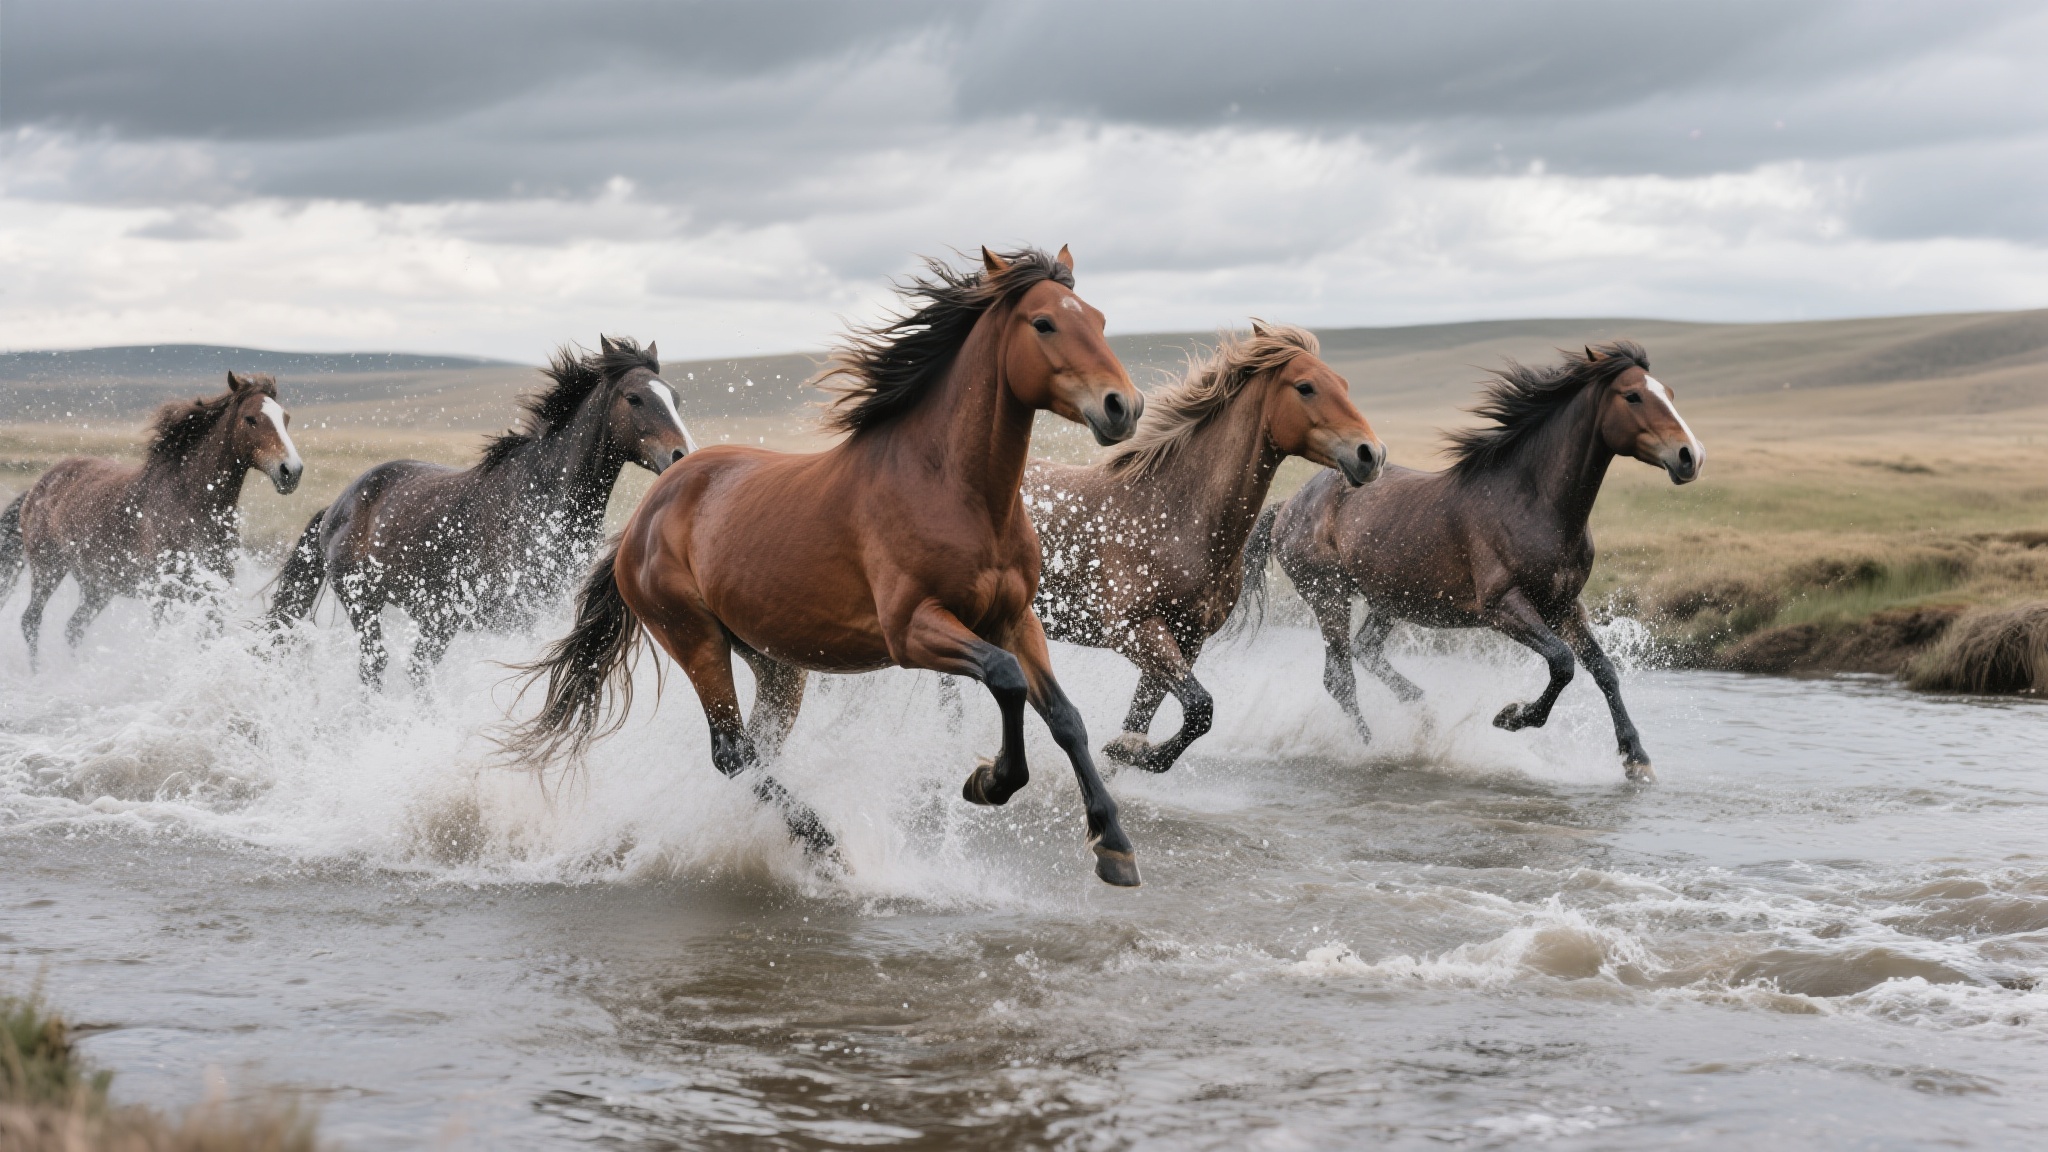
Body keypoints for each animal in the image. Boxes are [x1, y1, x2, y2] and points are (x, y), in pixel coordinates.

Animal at [0, 371, 303, 665]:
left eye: (286, 418)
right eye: (250, 419)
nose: (291, 471)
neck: (191, 506)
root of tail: (37, 487)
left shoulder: (213, 593)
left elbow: (207, 642)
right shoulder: (163, 594)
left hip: (97, 586)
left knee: (74, 628)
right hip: (48, 567)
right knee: (31, 620)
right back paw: (39, 673)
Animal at [267, 336, 694, 686]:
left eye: (675, 398)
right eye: (634, 398)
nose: (682, 456)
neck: (544, 497)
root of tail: (338, 505)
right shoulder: (520, 614)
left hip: (434, 619)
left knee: (415, 669)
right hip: (365, 603)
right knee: (377, 666)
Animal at [505, 246, 1151, 886]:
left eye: (1098, 320)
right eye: (1043, 323)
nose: (1123, 406)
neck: (953, 489)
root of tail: (646, 511)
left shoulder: (1016, 619)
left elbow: (1065, 716)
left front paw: (1113, 844)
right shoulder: (912, 630)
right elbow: (1006, 678)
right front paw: (989, 781)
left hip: (775, 662)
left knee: (759, 749)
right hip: (694, 638)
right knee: (733, 752)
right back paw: (824, 845)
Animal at [1025, 322, 1385, 774]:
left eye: (1344, 384)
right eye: (1305, 387)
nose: (1371, 455)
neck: (1171, 516)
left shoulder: (1188, 637)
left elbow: (1152, 717)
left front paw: (1124, 754)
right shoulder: (1134, 630)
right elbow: (1200, 708)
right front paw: (1132, 754)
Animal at [1240, 341, 1702, 781]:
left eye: (1670, 393)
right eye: (1633, 396)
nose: (1690, 456)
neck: (1534, 503)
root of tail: (1287, 505)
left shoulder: (1565, 605)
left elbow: (1602, 669)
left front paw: (1637, 759)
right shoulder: (1503, 606)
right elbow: (1563, 662)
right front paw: (1512, 717)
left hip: (1388, 599)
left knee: (1365, 651)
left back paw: (1425, 718)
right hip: (1328, 595)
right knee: (1339, 678)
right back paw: (1371, 747)